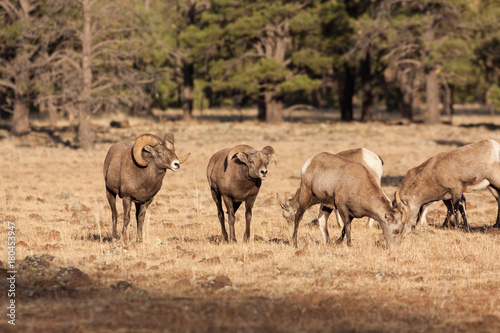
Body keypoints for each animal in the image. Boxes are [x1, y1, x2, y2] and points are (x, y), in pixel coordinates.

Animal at [280, 152, 408, 248]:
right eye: (396, 231)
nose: (394, 248)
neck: (358, 184)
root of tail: (310, 162)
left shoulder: (351, 213)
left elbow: (345, 228)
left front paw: (337, 242)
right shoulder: (342, 207)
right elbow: (347, 225)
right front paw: (349, 244)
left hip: (325, 204)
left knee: (322, 219)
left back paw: (328, 243)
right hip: (306, 196)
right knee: (298, 216)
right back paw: (295, 243)